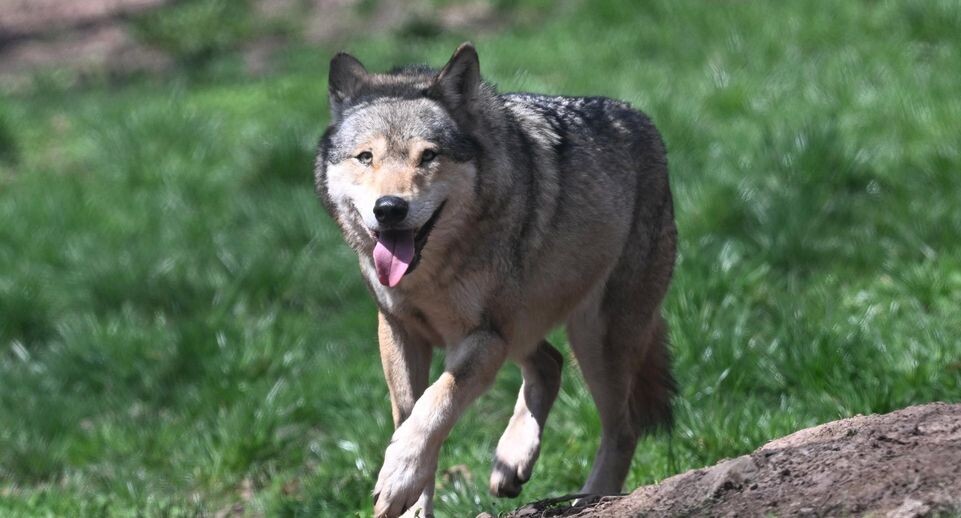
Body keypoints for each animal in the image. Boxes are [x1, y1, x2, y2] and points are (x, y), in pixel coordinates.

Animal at [314, 43, 677, 518]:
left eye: (428, 156)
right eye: (366, 157)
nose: (389, 208)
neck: (431, 277)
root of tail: (642, 121)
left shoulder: (483, 336)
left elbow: (435, 405)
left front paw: (398, 477)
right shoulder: (399, 330)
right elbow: (412, 415)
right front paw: (410, 498)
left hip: (594, 337)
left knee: (623, 427)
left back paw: (592, 497)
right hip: (529, 328)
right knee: (550, 364)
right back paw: (513, 461)